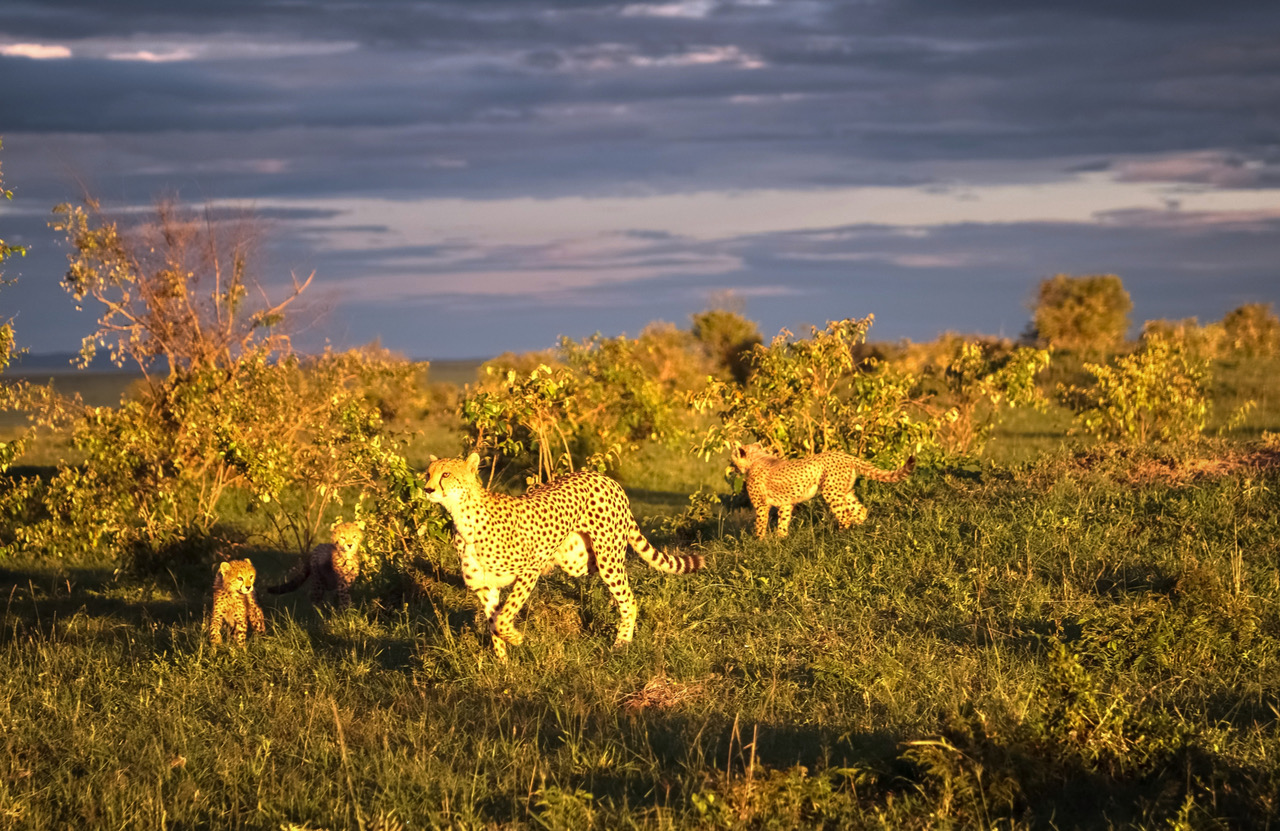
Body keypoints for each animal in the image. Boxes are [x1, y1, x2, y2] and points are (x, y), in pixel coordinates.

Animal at [423, 453, 705, 660]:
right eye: (428, 473)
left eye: (446, 474)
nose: (427, 489)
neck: (463, 516)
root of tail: (604, 477)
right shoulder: (485, 587)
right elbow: (493, 623)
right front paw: (503, 664)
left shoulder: (530, 570)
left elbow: (503, 617)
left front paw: (516, 639)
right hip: (578, 561)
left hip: (608, 559)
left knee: (629, 598)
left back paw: (622, 642)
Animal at [730, 442, 915, 538]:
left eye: (732, 457)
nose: (732, 467)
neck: (756, 459)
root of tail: (847, 455)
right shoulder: (786, 503)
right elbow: (783, 520)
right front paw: (781, 539)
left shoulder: (761, 505)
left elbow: (760, 523)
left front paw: (759, 541)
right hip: (844, 491)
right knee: (860, 510)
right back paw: (861, 530)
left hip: (830, 492)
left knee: (845, 515)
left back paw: (841, 536)